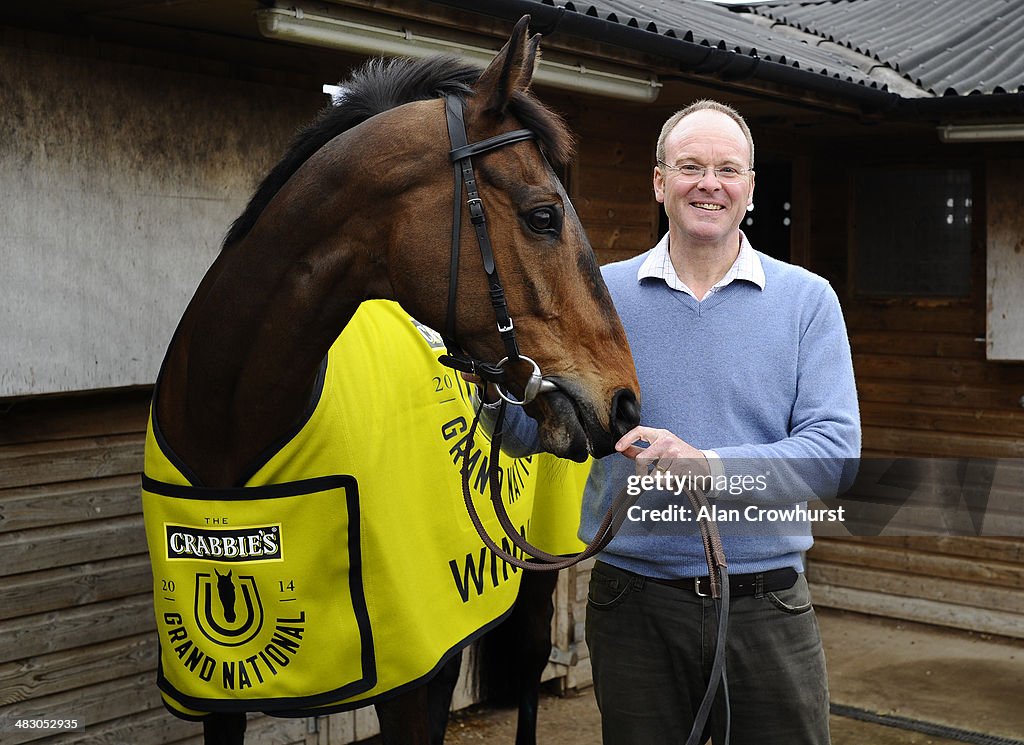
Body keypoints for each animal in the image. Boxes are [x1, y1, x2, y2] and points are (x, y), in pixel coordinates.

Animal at [150, 17, 634, 745]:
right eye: (543, 216)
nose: (625, 400)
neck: (227, 417)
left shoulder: (411, 674)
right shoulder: (217, 688)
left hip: (537, 573)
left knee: (527, 673)